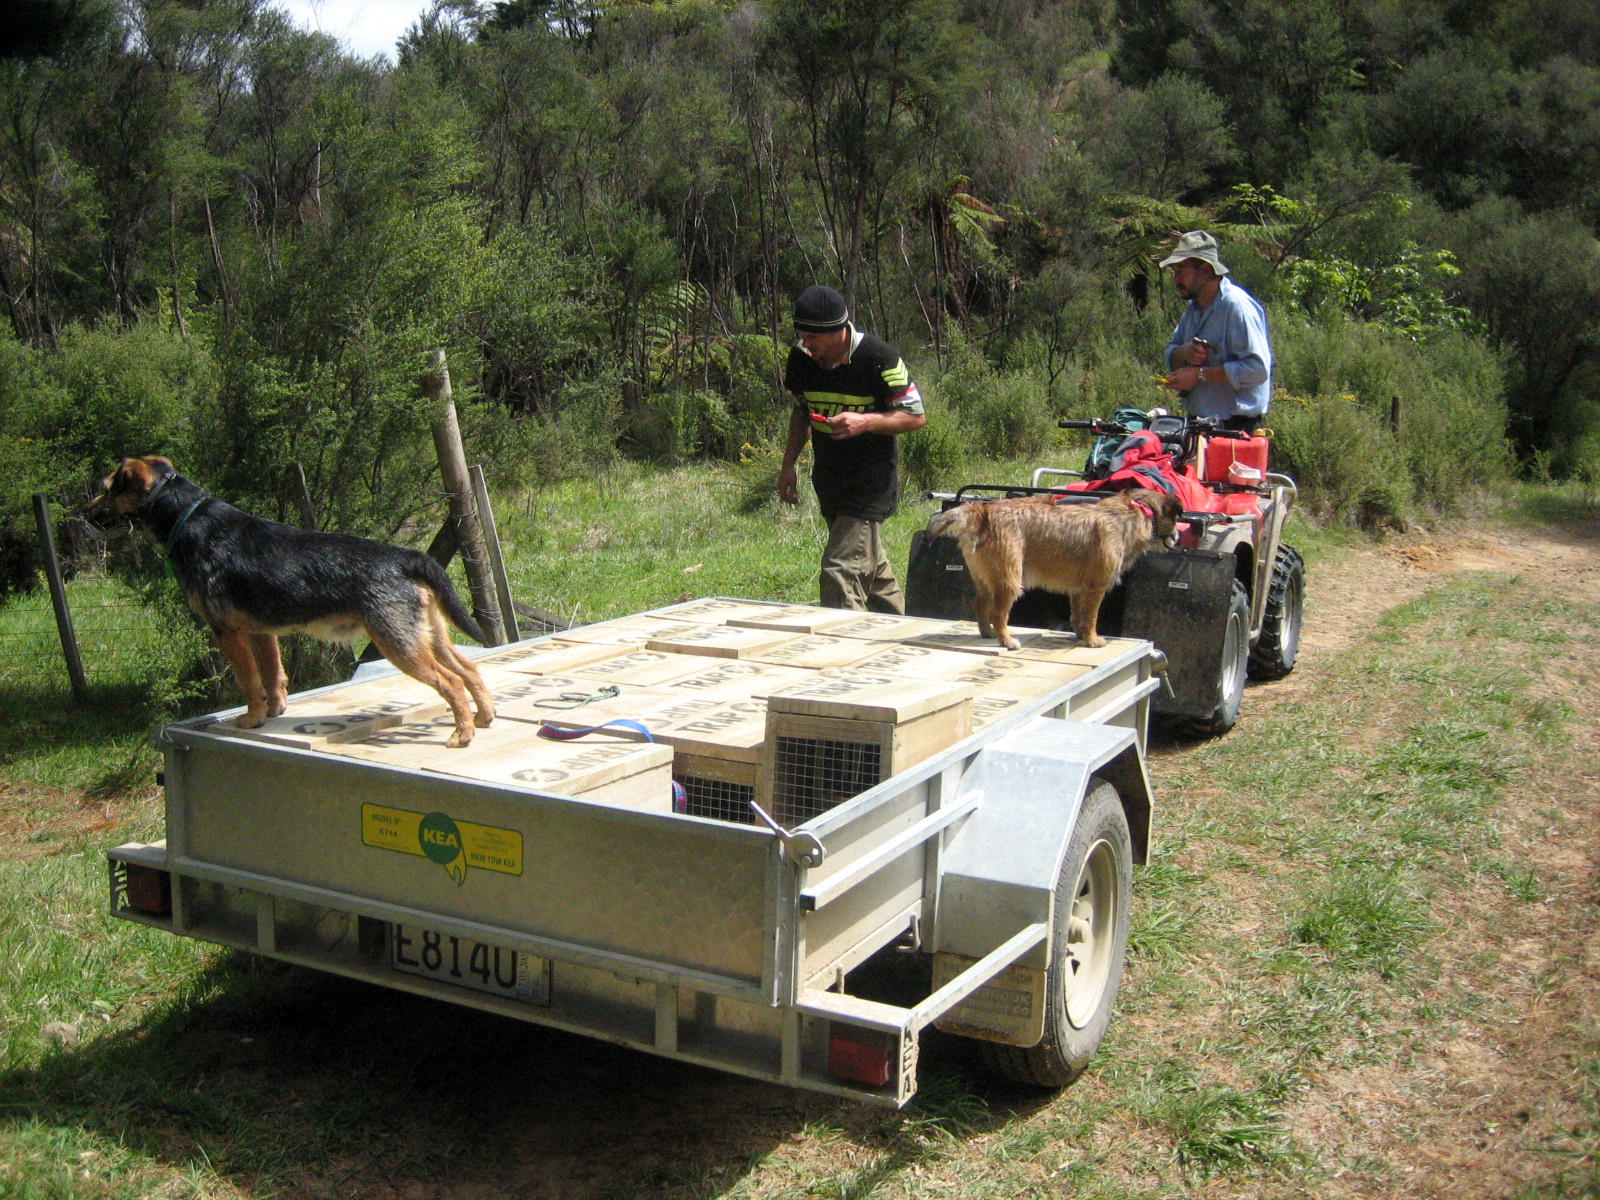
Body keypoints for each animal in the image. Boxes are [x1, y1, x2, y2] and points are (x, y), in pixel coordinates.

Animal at [92, 454, 492, 748]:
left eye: (108, 489)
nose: (86, 510)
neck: (189, 517)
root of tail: (410, 556)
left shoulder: (228, 632)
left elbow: (249, 681)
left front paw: (252, 719)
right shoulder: (260, 632)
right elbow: (272, 675)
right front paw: (275, 711)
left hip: (398, 644)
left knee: (450, 681)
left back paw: (462, 734)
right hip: (429, 636)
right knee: (468, 669)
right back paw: (483, 717)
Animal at [921, 492, 1184, 652]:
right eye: (1176, 518)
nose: (1179, 535)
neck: (1133, 513)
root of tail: (983, 512)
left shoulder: (1078, 591)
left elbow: (1078, 615)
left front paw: (1079, 634)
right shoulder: (1095, 588)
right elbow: (1091, 617)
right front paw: (1092, 640)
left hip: (985, 579)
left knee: (979, 606)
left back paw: (987, 634)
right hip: (1010, 579)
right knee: (998, 614)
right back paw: (1007, 640)